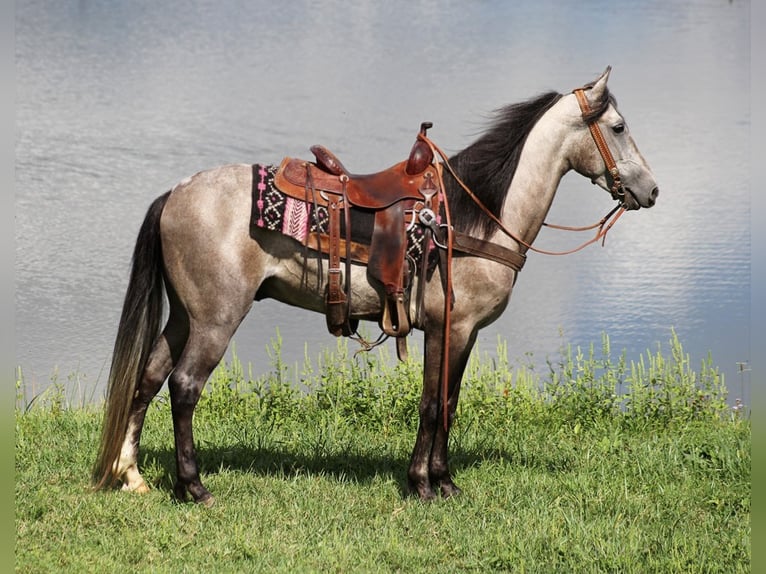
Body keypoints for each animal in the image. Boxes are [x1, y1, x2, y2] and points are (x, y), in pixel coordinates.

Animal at [94, 67, 660, 506]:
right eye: (618, 126)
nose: (651, 190)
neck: (476, 217)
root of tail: (175, 193)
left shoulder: (463, 333)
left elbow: (449, 400)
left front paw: (443, 482)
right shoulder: (449, 328)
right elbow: (433, 403)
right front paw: (425, 485)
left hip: (184, 316)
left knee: (148, 379)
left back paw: (132, 476)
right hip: (216, 318)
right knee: (185, 386)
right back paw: (194, 487)